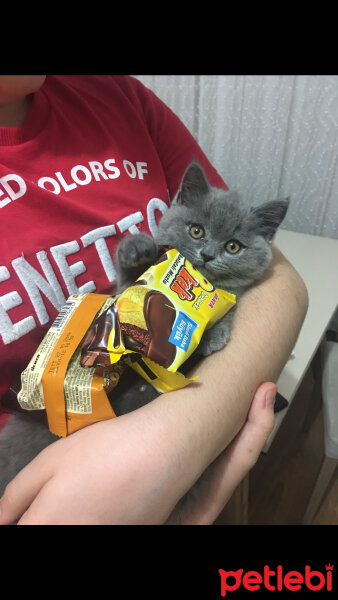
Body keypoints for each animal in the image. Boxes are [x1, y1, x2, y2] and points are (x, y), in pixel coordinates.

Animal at [0, 162, 288, 524]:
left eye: (233, 246)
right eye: (196, 231)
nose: (208, 255)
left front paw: (214, 334)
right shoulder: (125, 291)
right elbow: (127, 282)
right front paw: (136, 249)